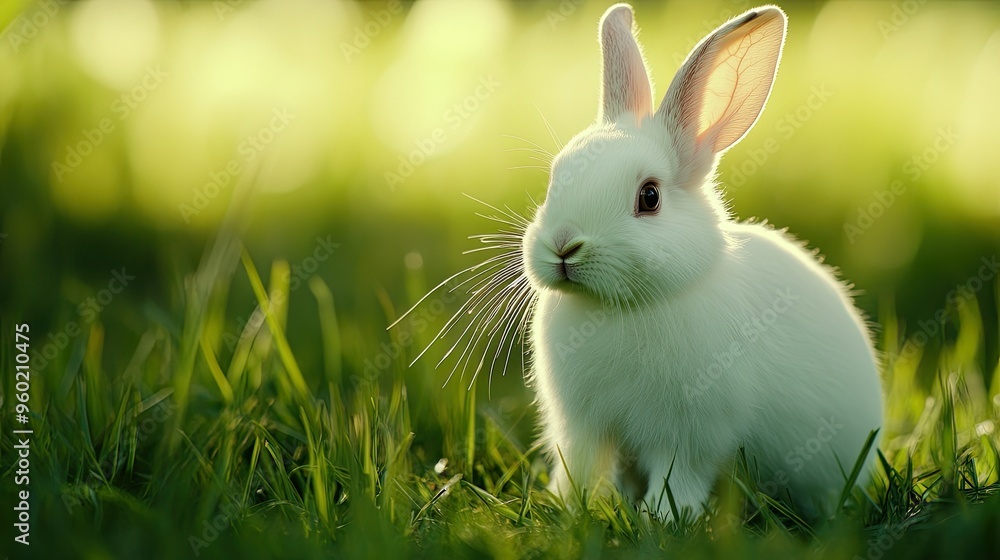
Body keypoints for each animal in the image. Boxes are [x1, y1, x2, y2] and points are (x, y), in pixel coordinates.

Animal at [519, 4, 884, 519]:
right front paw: (565, 507)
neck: (618, 308)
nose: (565, 246)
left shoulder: (690, 435)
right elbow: (581, 469)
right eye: (556, 177)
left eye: (649, 197)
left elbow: (679, 477)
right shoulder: (581, 429)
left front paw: (661, 517)